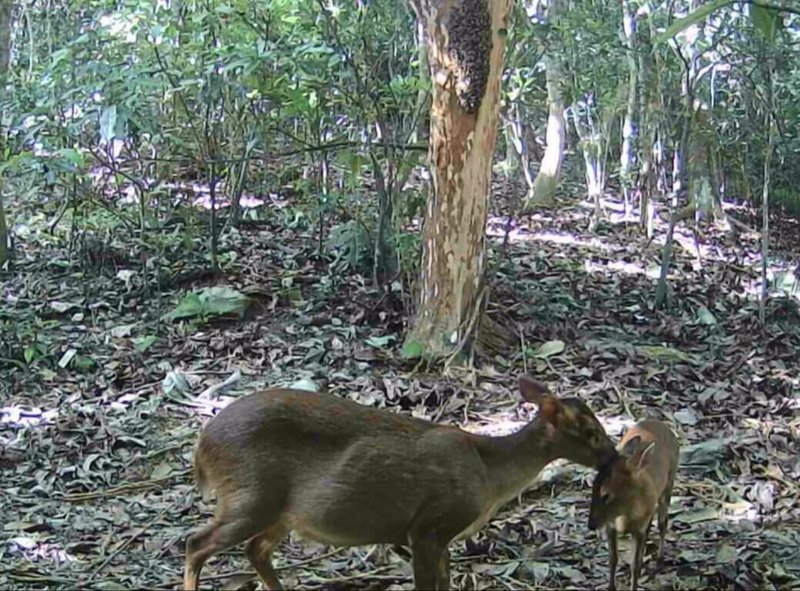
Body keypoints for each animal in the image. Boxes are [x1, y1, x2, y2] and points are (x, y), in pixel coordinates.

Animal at [184, 376, 616, 588]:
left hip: (281, 511)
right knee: (196, 543)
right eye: (591, 432)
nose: (614, 456)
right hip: (250, 496)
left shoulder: (443, 536)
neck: (489, 473)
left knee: (255, 550)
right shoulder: (428, 526)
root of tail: (202, 447)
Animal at [584, 418, 680, 588]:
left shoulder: (639, 528)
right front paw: (611, 586)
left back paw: (659, 559)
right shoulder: (610, 526)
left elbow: (636, 565)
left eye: (606, 494)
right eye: (593, 488)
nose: (591, 525)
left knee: (663, 523)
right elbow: (612, 559)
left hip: (669, 483)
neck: (625, 514)